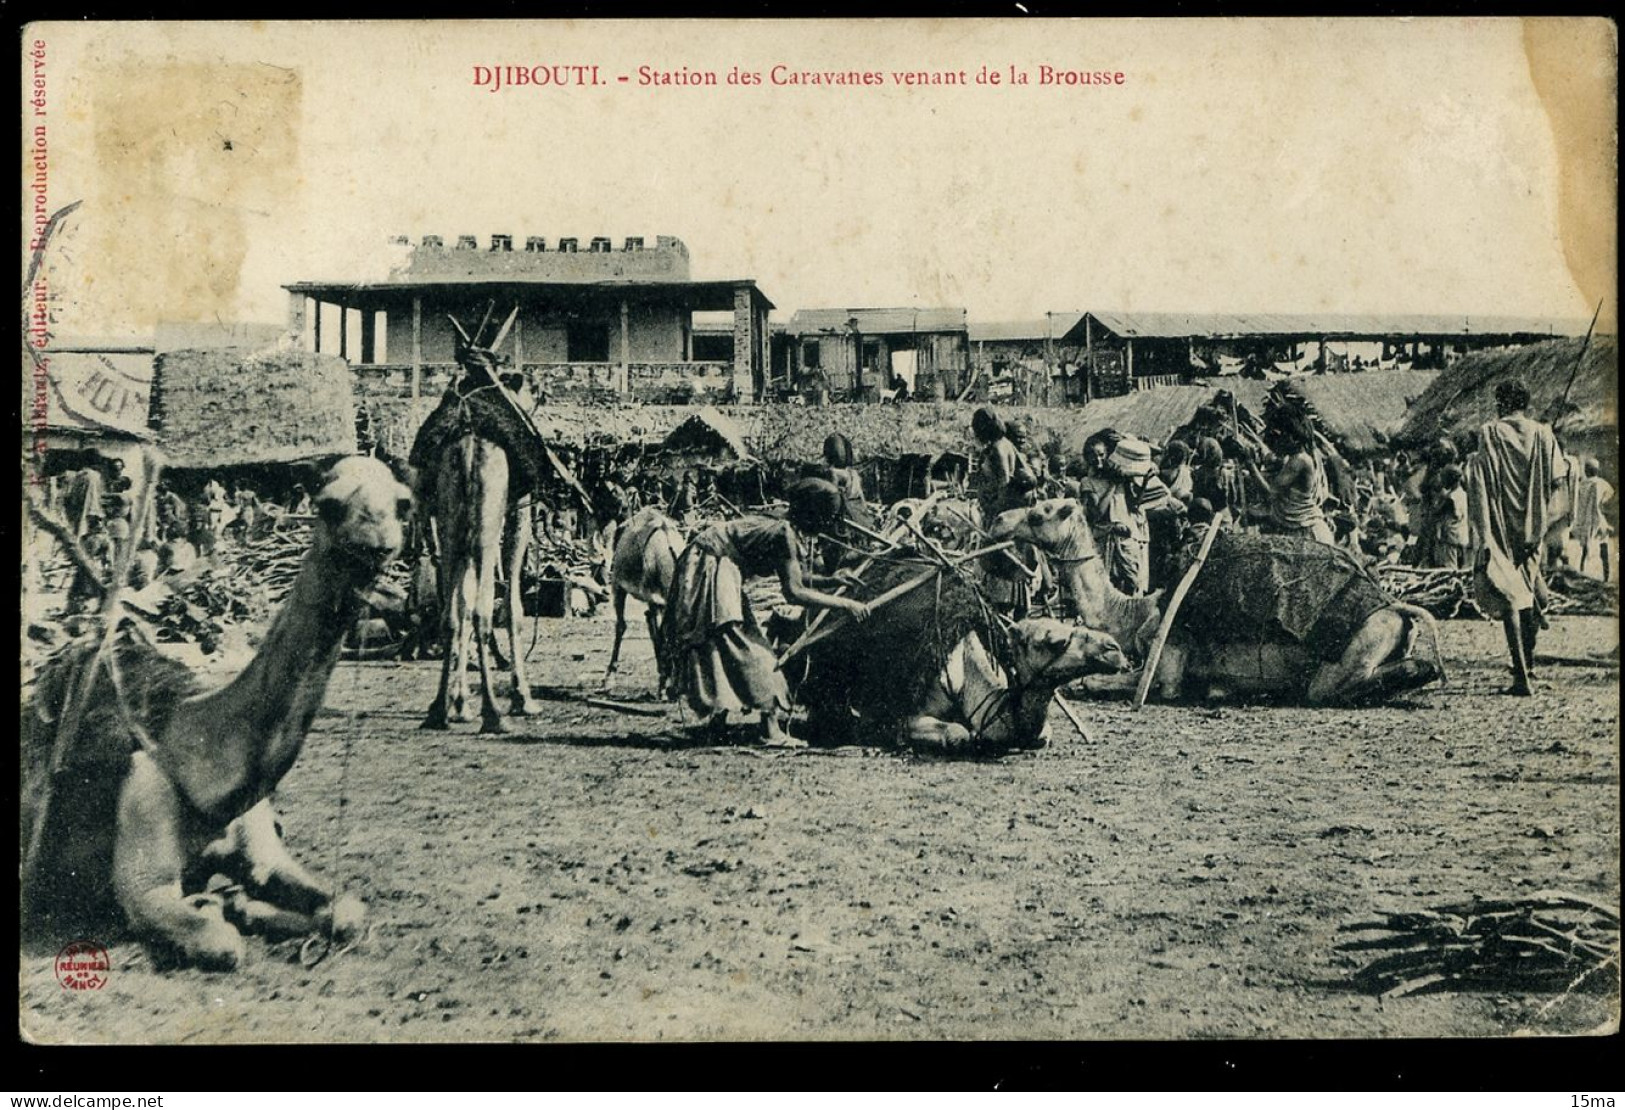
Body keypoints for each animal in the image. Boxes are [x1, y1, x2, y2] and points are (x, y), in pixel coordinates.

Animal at [23, 455, 412, 968]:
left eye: (403, 505)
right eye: (328, 505)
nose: (376, 546)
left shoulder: (263, 849)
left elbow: (347, 911)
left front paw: (245, 903)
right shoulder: (144, 860)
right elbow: (219, 942)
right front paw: (221, 909)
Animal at [981, 500, 1443, 708]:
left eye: (1040, 513)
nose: (998, 519)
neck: (1134, 614)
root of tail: (1397, 608)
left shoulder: (1167, 660)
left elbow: (1098, 683)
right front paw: (1218, 688)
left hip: (1353, 652)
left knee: (1330, 687)